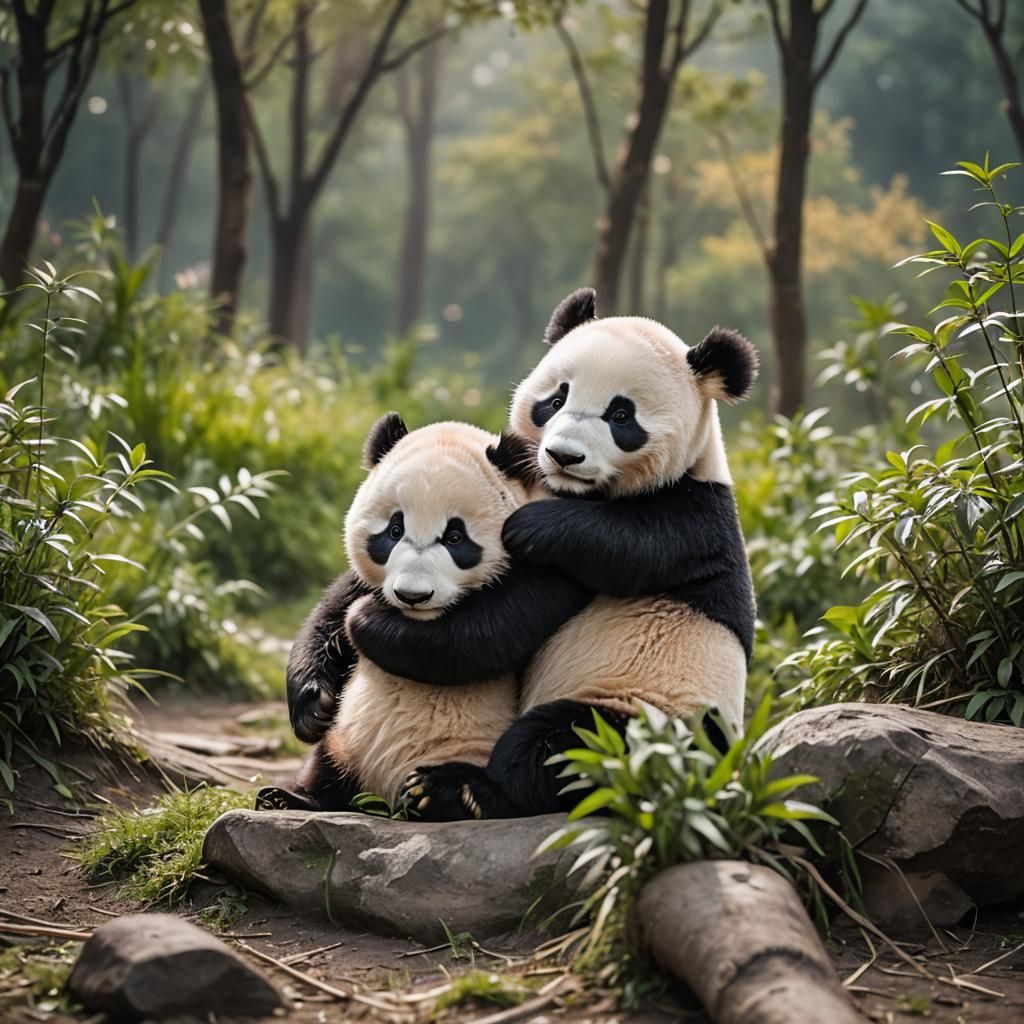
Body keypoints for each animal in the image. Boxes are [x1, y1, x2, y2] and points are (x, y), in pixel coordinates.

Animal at [262, 413, 590, 814]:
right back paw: (290, 798)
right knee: (327, 767)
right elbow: (325, 618)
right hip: (346, 741)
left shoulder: (544, 565)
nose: (411, 596)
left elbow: (477, 640)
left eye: (455, 538)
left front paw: (365, 619)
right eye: (394, 530)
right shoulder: (363, 583)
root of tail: (379, 797)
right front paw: (313, 708)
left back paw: (437, 796)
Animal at [341, 289, 758, 819]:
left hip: (651, 715)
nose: (564, 456)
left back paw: (455, 789)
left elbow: (503, 619)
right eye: (555, 400)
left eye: (621, 416)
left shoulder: (691, 520)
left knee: (566, 747)